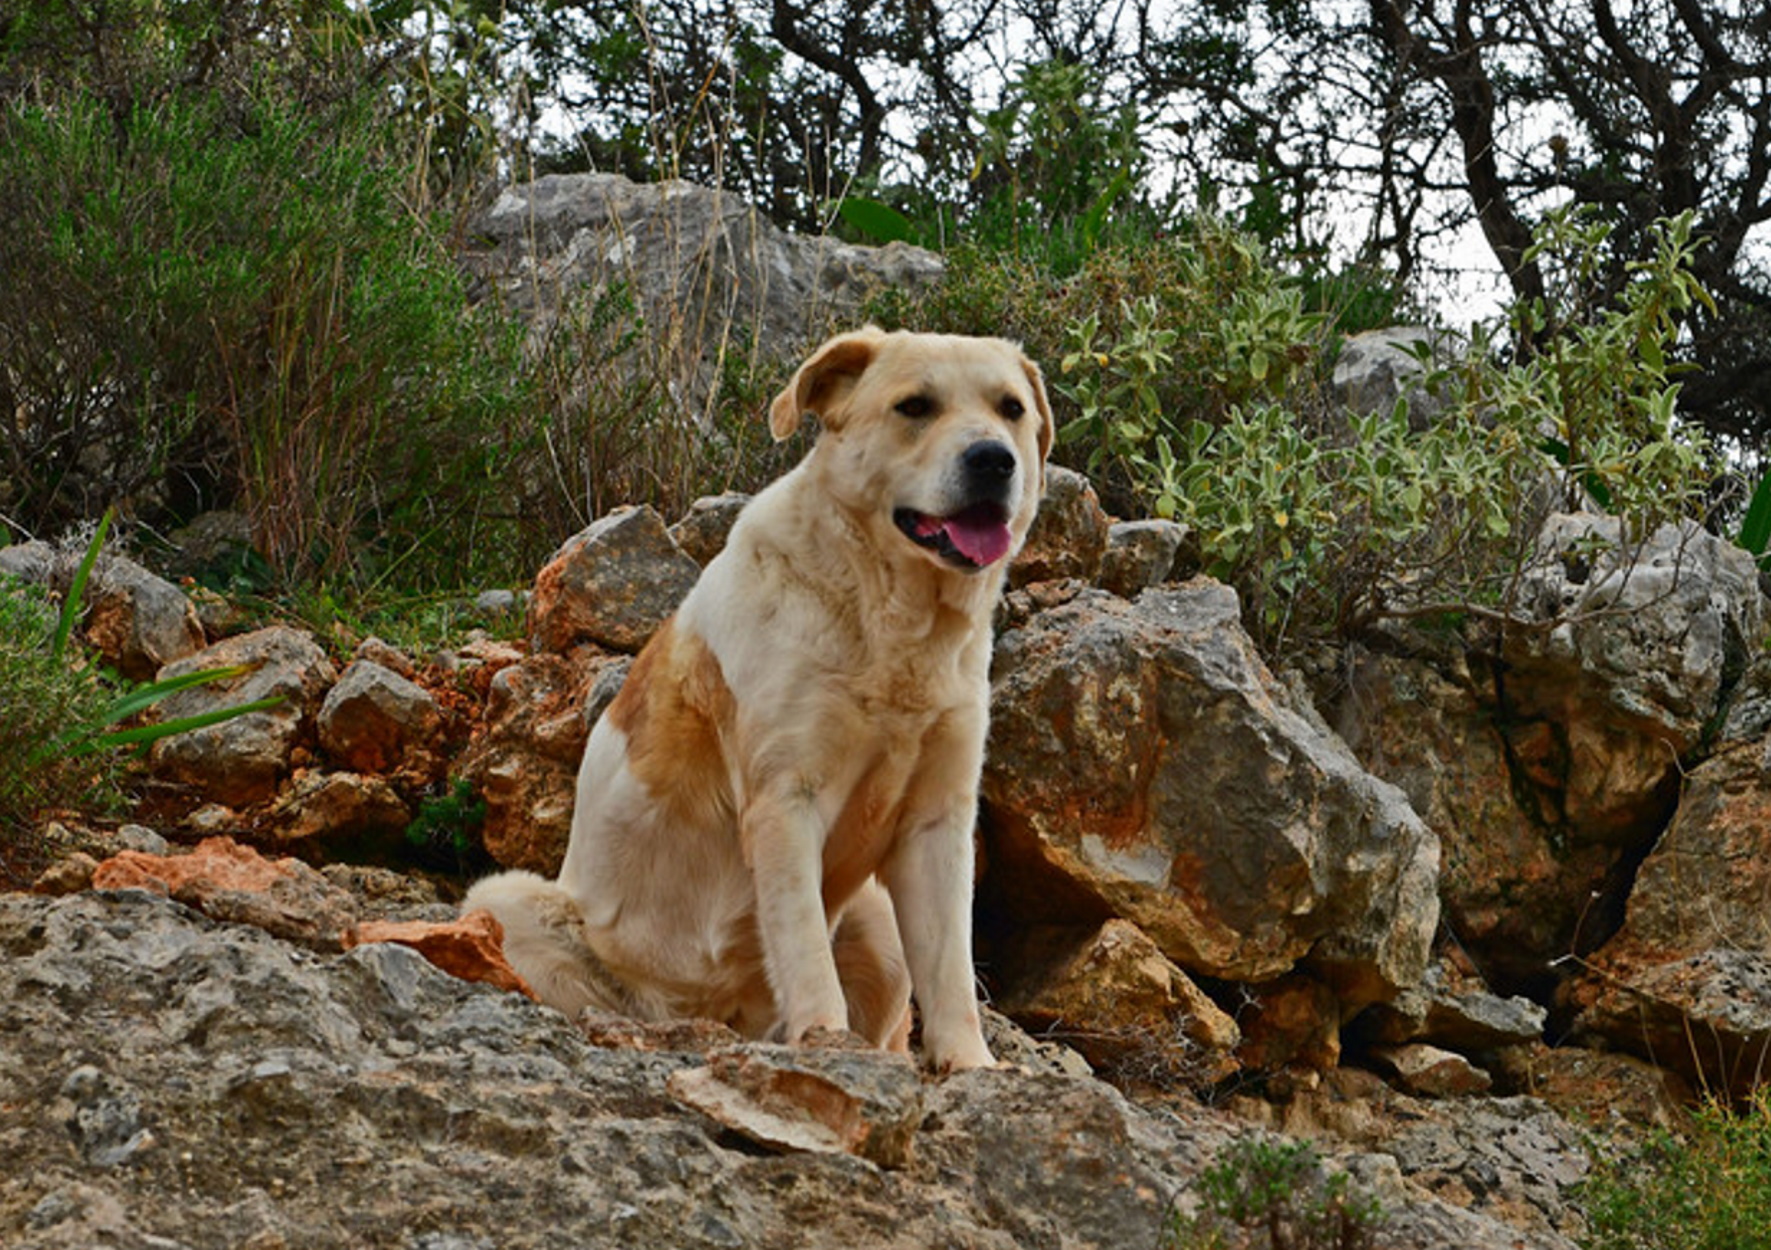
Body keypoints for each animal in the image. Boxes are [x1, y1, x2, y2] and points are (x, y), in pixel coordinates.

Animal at [467, 325, 1048, 1069]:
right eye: (915, 406)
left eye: (1010, 409)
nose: (993, 459)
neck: (889, 622)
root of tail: (710, 1015)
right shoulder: (786, 801)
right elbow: (803, 949)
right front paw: (827, 1042)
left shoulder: (936, 821)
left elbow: (949, 972)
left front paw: (972, 1069)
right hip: (505, 902)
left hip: (877, 921)